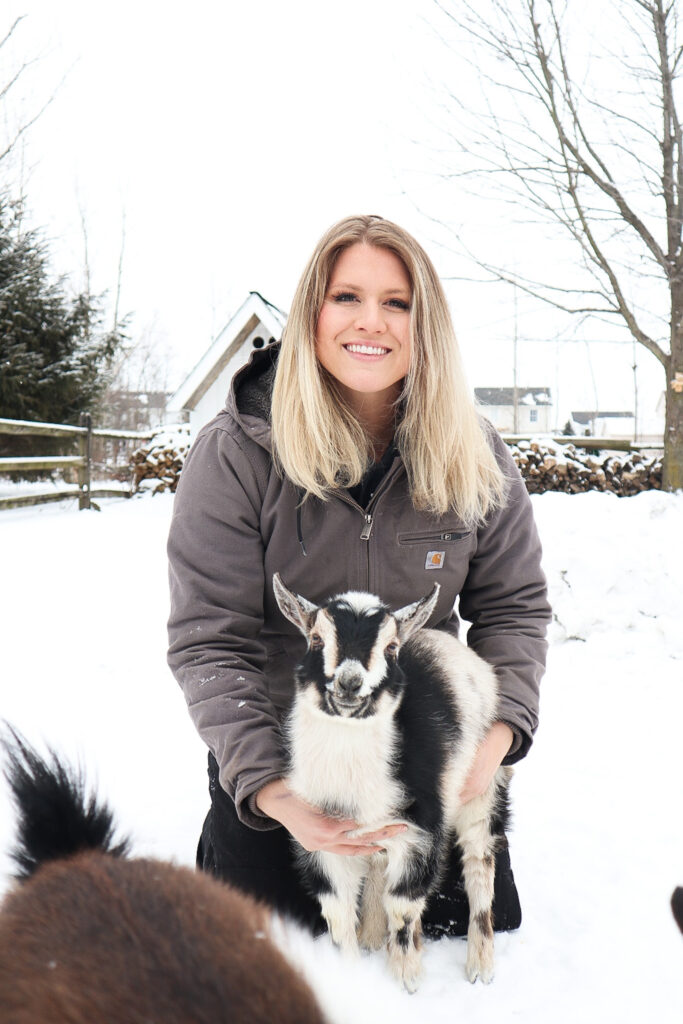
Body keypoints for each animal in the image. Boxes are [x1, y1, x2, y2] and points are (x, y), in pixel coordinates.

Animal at [274, 573, 511, 987]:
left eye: (391, 647)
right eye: (316, 639)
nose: (350, 683)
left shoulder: (420, 830)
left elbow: (403, 904)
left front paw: (405, 980)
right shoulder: (319, 839)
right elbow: (337, 914)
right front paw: (352, 977)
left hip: (485, 783)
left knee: (480, 863)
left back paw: (480, 967)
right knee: (377, 868)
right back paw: (372, 936)